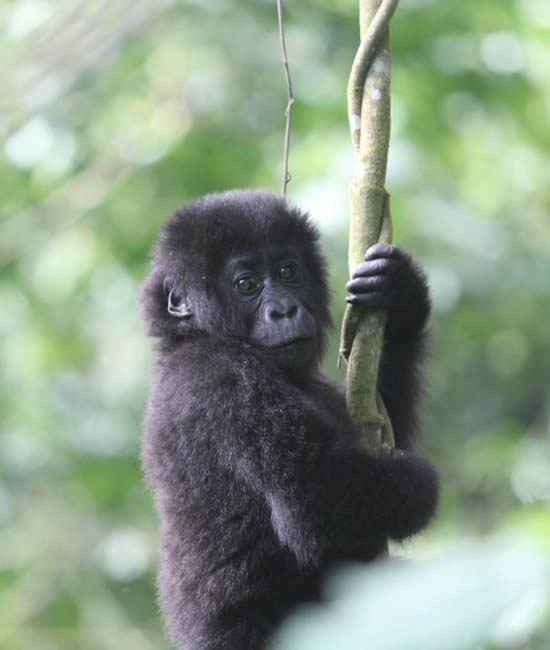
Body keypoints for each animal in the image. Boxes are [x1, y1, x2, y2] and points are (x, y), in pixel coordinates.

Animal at [141, 189, 440, 648]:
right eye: (245, 284)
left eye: (288, 271)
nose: (284, 309)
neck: (192, 337)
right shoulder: (222, 378)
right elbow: (316, 499)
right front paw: (419, 486)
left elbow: (382, 424)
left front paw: (400, 295)